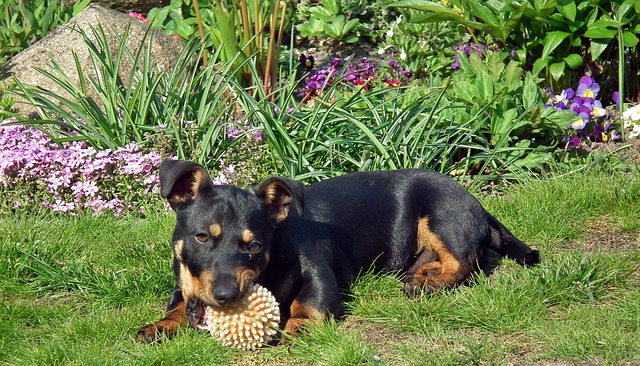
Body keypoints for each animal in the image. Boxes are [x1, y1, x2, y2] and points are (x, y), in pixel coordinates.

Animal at [136, 159, 540, 342]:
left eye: (255, 245)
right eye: (201, 237)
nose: (225, 296)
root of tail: (479, 205)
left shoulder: (319, 269)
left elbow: (308, 301)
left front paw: (298, 326)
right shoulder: (183, 282)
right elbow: (177, 303)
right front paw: (159, 326)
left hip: (442, 215)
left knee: (468, 262)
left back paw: (428, 283)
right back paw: (424, 274)